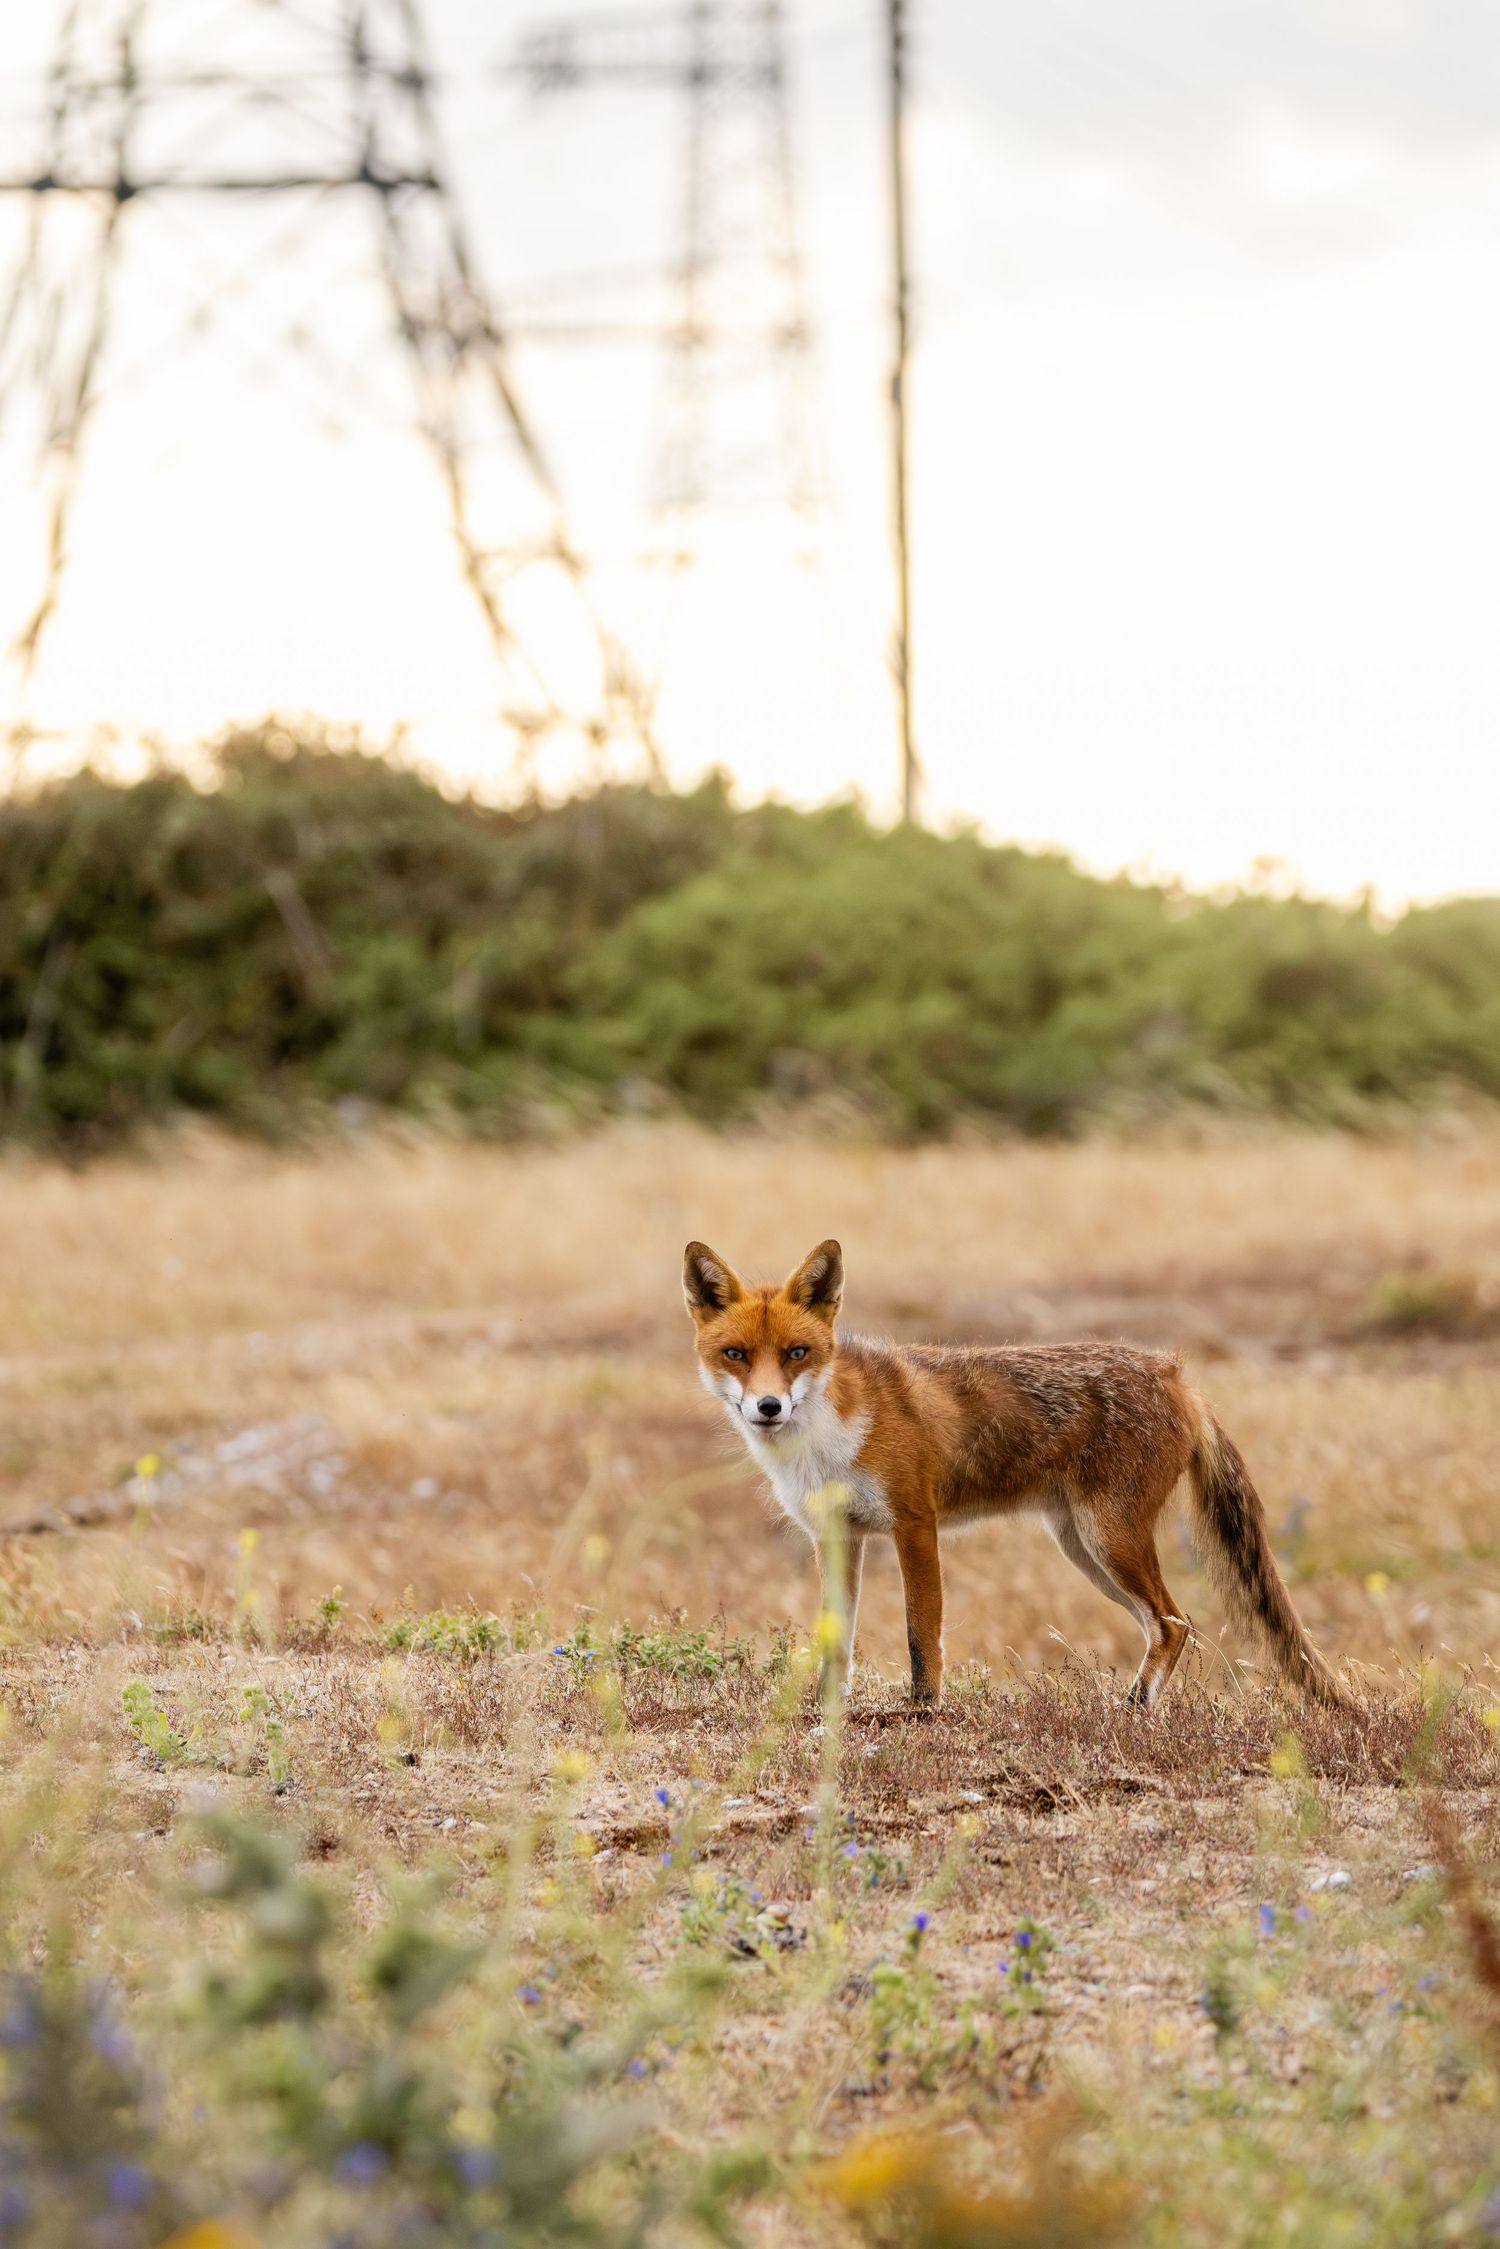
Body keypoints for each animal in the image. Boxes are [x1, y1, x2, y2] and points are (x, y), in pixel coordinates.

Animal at [683, 1236, 1346, 1711]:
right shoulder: (836, 1536)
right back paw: (1136, 1707)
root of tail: (1174, 1373)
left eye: (797, 1353)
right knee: (1165, 1625)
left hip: (1111, 1540)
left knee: (1174, 1622)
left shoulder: (914, 1524)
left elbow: (922, 1635)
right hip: (1084, 1547)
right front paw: (826, 1712)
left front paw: (923, 1713)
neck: (823, 1439)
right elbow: (836, 1642)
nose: (768, 1407)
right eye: (735, 1355)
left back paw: (1131, 1711)